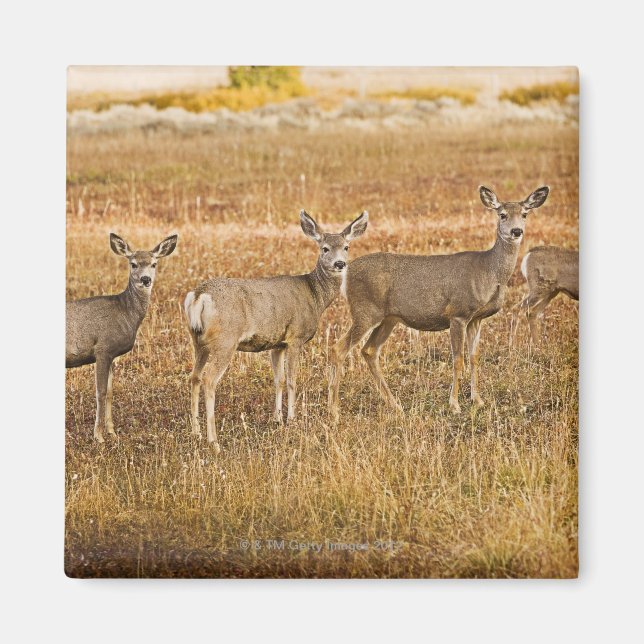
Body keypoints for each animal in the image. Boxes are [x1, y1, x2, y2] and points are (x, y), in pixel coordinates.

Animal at [66, 233, 178, 442]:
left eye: (154, 264)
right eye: (133, 264)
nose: (145, 279)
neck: (124, 312)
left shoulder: (112, 355)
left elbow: (110, 391)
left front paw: (112, 431)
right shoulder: (102, 349)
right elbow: (100, 392)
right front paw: (98, 436)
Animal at [184, 210, 368, 452]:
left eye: (346, 246)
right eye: (325, 248)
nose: (340, 264)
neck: (315, 296)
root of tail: (199, 296)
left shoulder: (277, 344)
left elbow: (278, 380)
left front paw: (277, 419)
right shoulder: (295, 337)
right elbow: (291, 379)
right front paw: (292, 419)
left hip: (198, 341)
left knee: (195, 377)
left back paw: (195, 432)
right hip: (226, 340)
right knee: (209, 380)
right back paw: (213, 440)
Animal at [328, 185, 549, 420]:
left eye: (524, 214)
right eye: (502, 214)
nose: (516, 231)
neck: (489, 272)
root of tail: (347, 273)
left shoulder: (476, 319)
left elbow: (474, 357)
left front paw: (478, 400)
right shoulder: (458, 313)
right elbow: (458, 359)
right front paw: (454, 404)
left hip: (388, 318)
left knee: (369, 351)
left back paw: (395, 406)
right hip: (365, 311)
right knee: (338, 349)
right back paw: (334, 410)